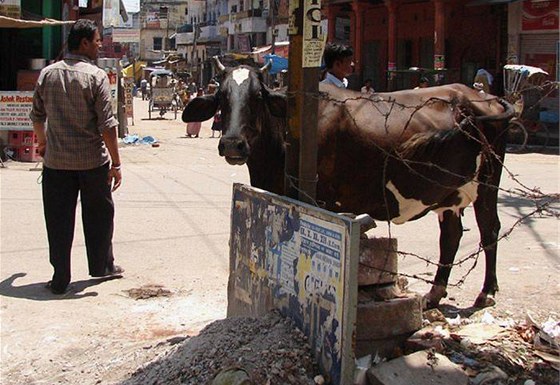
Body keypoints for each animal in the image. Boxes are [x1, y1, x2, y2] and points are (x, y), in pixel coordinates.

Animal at [183, 58, 512, 308]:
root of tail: (487, 98)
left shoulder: (318, 199)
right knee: (451, 235)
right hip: (448, 193)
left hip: (488, 183)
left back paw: (486, 292)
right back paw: (434, 293)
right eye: (222, 98)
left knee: (489, 229)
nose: (233, 144)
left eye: (257, 98)